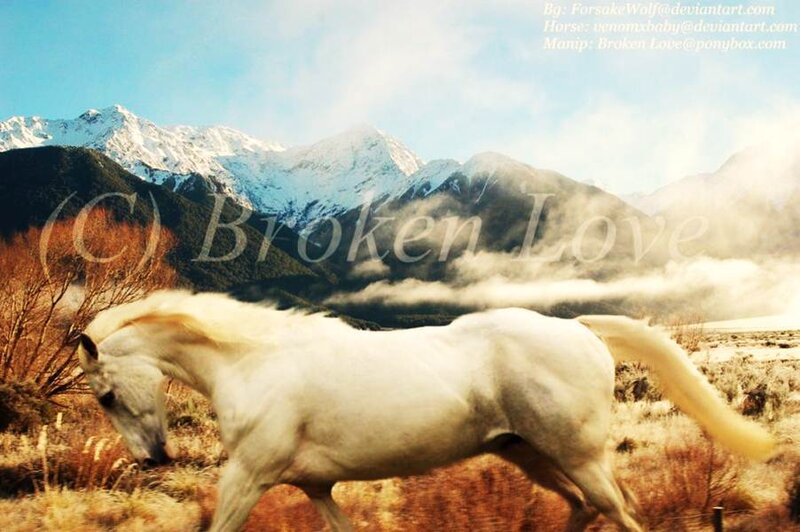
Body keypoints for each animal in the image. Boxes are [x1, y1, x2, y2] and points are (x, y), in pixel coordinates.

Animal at [76, 290, 774, 532]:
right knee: (582, 510)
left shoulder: (247, 478)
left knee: (616, 511)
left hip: (577, 455)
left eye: (105, 395)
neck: (252, 365)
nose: (151, 458)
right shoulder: (316, 488)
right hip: (528, 453)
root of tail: (579, 328)